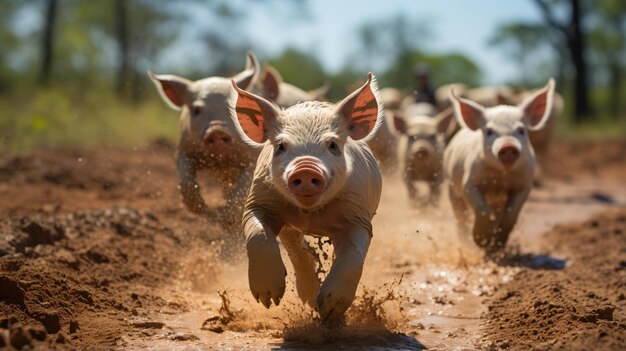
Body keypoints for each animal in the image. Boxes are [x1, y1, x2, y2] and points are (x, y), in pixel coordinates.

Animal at [148, 51, 258, 224]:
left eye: (233, 108)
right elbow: (186, 182)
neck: (219, 162)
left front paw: (226, 220)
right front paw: (206, 213)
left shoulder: (252, 156)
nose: (217, 130)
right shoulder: (182, 149)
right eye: (196, 110)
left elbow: (243, 188)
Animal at [228, 73, 380, 324]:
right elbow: (258, 235)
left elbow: (354, 254)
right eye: (281, 146)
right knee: (294, 246)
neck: (311, 214)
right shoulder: (257, 200)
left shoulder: (358, 214)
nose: (306, 168)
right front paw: (267, 299)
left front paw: (329, 310)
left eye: (333, 145)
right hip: (289, 228)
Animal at [442, 79, 552, 253]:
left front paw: (497, 245)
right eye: (489, 131)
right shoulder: (469, 183)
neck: (501, 177)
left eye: (521, 130)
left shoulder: (524, 185)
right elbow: (482, 208)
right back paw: (466, 244)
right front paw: (481, 241)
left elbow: (511, 214)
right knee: (461, 216)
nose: (508, 146)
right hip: (451, 187)